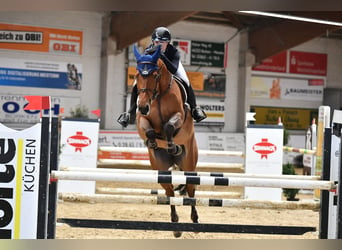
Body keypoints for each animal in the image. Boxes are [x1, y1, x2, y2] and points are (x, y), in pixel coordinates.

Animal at [133, 45, 199, 238]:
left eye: (154, 75)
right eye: (137, 75)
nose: (143, 106)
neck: (159, 94)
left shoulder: (179, 116)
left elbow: (169, 126)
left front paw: (172, 146)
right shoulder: (142, 119)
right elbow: (148, 130)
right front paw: (153, 143)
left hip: (189, 164)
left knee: (190, 190)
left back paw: (194, 219)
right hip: (161, 169)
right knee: (169, 191)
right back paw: (175, 225)